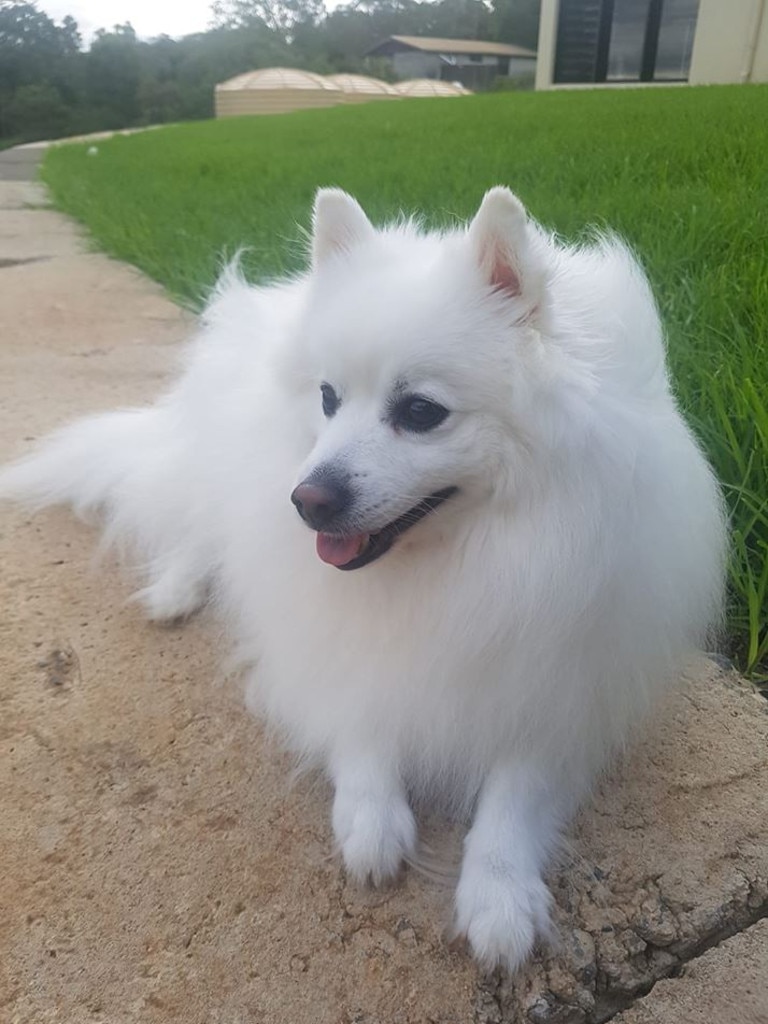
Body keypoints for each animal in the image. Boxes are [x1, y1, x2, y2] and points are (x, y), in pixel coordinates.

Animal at [0, 190, 729, 966]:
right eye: (327, 397)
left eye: (421, 412)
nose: (306, 500)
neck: (456, 564)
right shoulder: (330, 639)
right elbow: (359, 713)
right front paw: (371, 818)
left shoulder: (565, 681)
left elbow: (516, 789)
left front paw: (499, 895)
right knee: (197, 523)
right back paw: (176, 588)